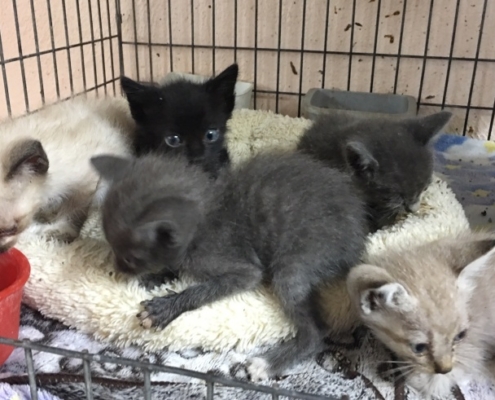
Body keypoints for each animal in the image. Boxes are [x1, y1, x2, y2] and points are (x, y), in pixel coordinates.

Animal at [91, 151, 368, 382]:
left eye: (130, 258)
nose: (117, 267)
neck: (205, 219)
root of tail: (359, 230)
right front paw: (157, 276)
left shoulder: (244, 270)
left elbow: (203, 289)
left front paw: (164, 307)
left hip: (297, 263)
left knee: (316, 329)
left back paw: (267, 364)